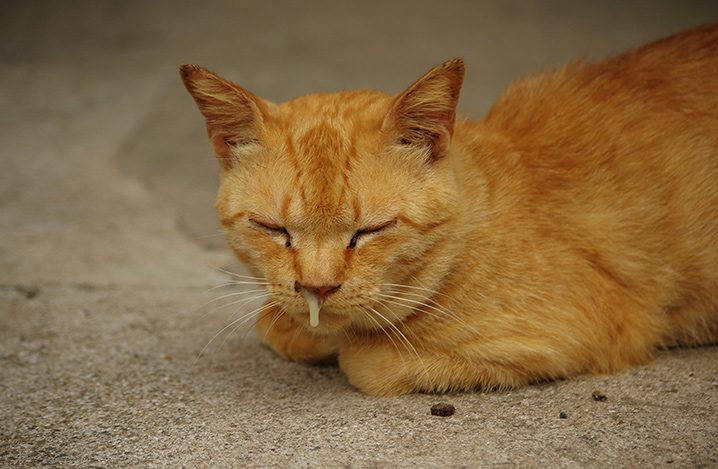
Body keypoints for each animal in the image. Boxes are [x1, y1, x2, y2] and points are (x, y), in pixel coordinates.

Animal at [181, 22, 718, 394]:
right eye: (272, 228)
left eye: (370, 231)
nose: (317, 288)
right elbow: (274, 321)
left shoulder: (573, 334)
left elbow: (363, 358)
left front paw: (334, 341)